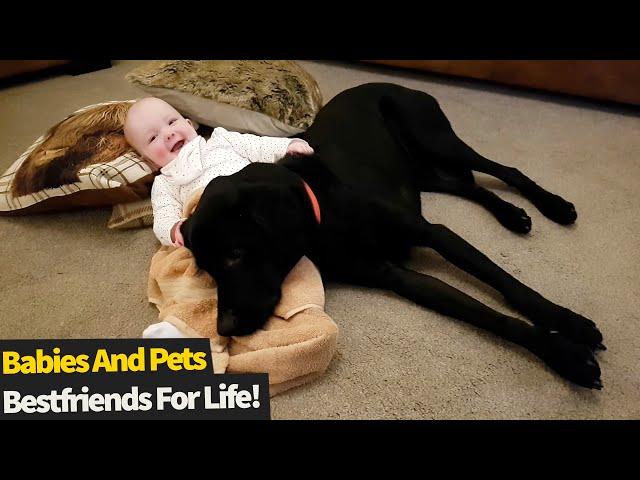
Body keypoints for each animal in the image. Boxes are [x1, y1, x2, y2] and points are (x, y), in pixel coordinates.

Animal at [180, 82, 604, 390]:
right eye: (207, 270)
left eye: (235, 254)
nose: (224, 328)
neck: (325, 214)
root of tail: (396, 84)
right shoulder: (396, 276)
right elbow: (481, 312)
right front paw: (563, 352)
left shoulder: (434, 234)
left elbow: (503, 282)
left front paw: (568, 325)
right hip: (422, 172)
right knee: (467, 186)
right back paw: (511, 215)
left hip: (435, 139)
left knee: (501, 170)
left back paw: (553, 207)